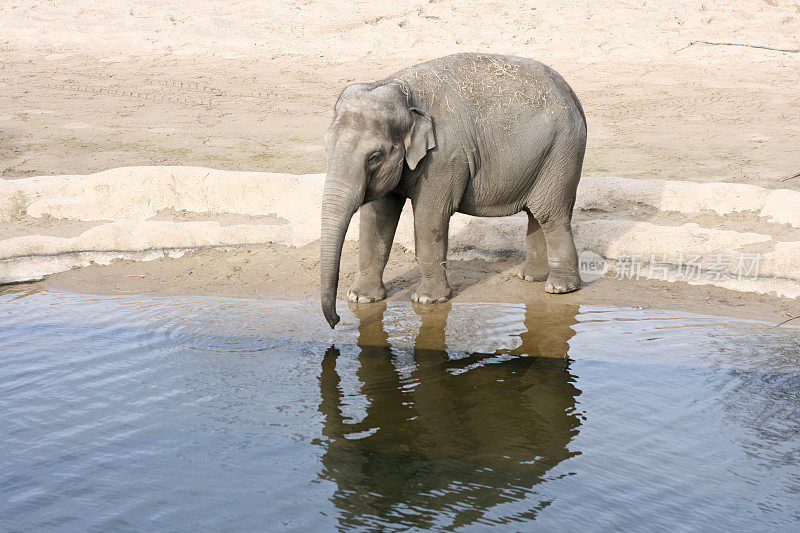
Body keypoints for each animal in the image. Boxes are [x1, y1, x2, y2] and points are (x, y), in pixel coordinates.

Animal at [320, 54, 588, 328]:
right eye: (327, 146)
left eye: (374, 156)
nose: (335, 321)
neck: (402, 90)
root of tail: (571, 94)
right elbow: (377, 218)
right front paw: (361, 298)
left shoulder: (443, 158)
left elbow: (429, 218)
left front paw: (428, 300)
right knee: (536, 213)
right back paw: (531, 277)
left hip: (561, 152)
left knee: (550, 214)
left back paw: (559, 288)